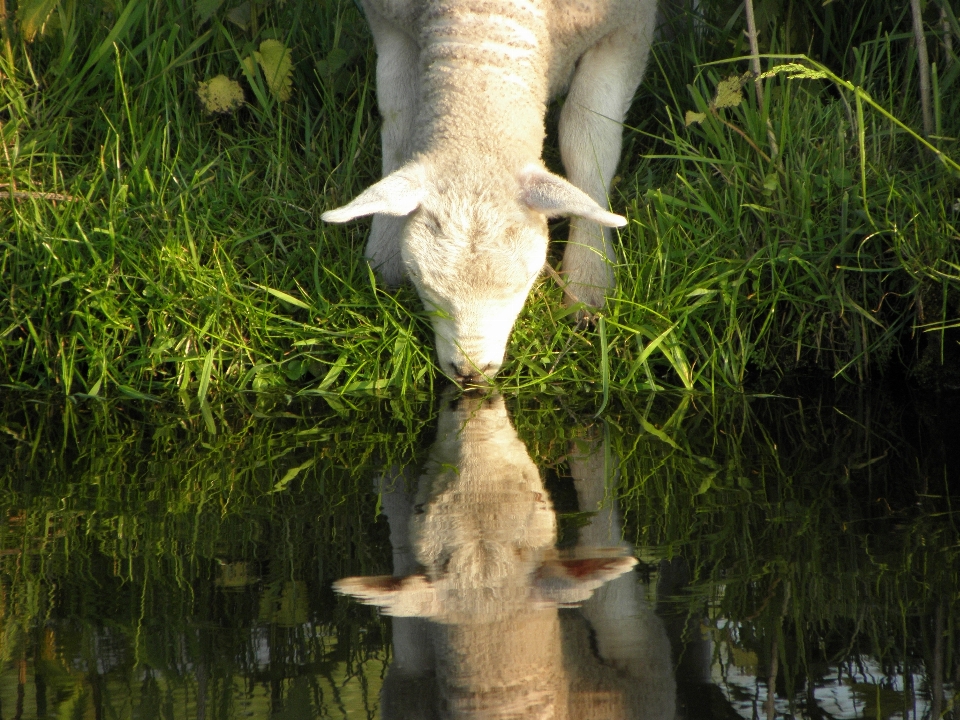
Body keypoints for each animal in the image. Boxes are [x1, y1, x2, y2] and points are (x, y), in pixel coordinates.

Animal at [322, 0, 660, 386]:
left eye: (524, 282)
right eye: (422, 283)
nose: (469, 372)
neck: (478, 26)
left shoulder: (625, 26)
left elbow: (587, 137)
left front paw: (590, 278)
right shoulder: (389, 24)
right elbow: (398, 126)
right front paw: (383, 256)